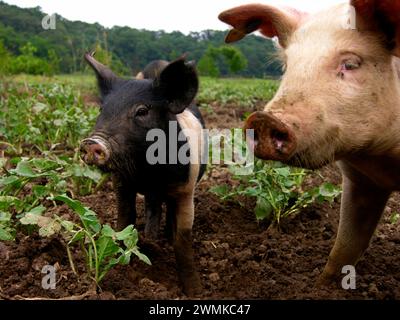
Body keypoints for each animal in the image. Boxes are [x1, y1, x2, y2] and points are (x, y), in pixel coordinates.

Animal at [80, 52, 208, 296]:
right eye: (102, 110)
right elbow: (124, 220)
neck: (149, 173)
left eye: (142, 111)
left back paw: (163, 236)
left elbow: (183, 240)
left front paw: (195, 291)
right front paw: (121, 262)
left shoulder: (186, 188)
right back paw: (152, 237)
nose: (92, 143)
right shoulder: (122, 183)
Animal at [220, 0, 400, 284]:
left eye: (351, 64)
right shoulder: (360, 181)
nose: (263, 119)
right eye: (287, 64)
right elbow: (345, 246)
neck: (380, 159)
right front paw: (323, 285)